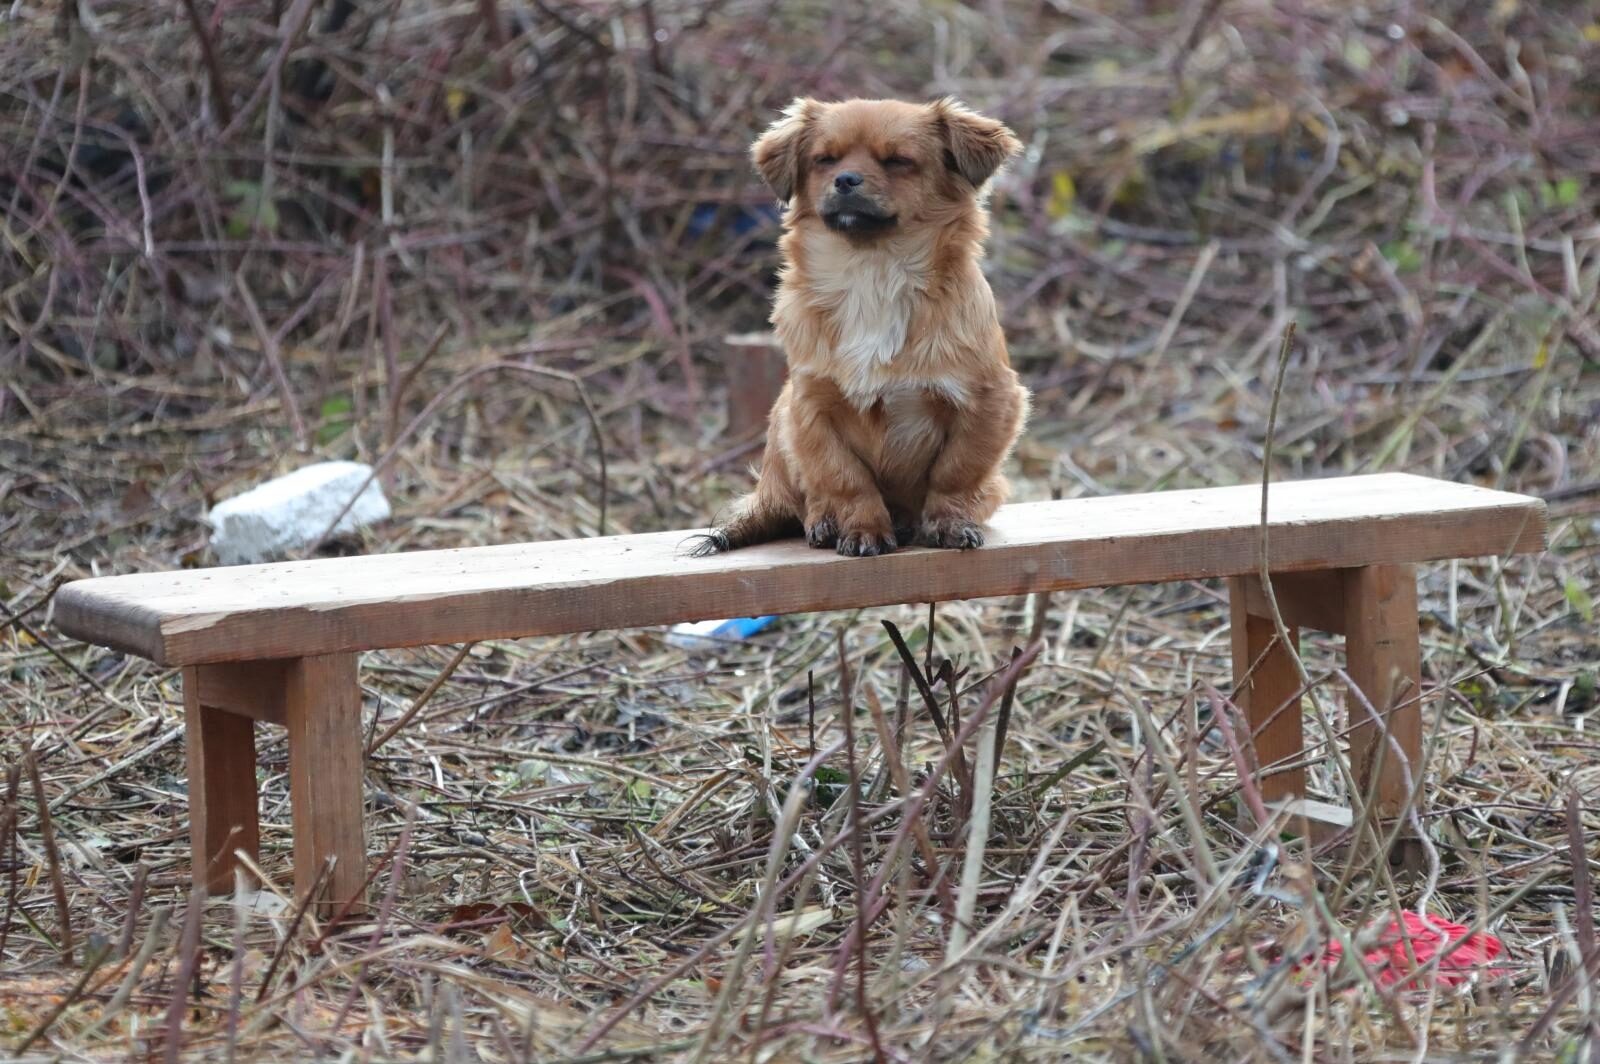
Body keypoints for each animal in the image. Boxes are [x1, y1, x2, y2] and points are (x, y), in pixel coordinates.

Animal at [697, 100, 1024, 560]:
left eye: (898, 161)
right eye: (825, 160)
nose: (846, 179)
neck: (874, 272)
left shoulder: (991, 402)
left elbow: (955, 471)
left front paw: (949, 523)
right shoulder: (811, 408)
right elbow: (845, 478)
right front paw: (863, 529)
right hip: (782, 421)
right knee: (806, 501)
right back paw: (824, 523)